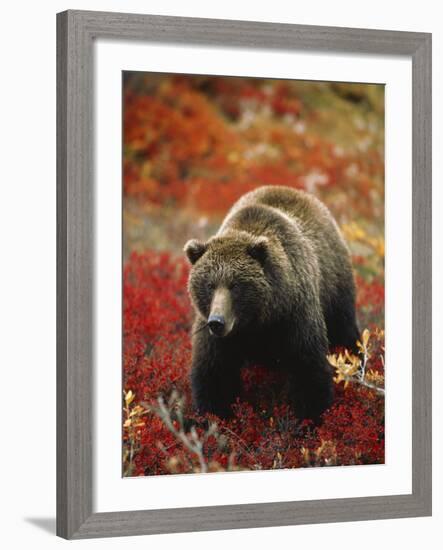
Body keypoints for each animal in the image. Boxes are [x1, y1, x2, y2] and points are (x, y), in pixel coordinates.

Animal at [184, 188, 360, 420]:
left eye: (235, 285)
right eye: (210, 285)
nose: (217, 321)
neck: (257, 322)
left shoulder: (294, 316)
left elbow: (308, 368)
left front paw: (311, 416)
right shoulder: (215, 335)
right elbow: (214, 374)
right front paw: (215, 416)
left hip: (335, 288)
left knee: (345, 332)